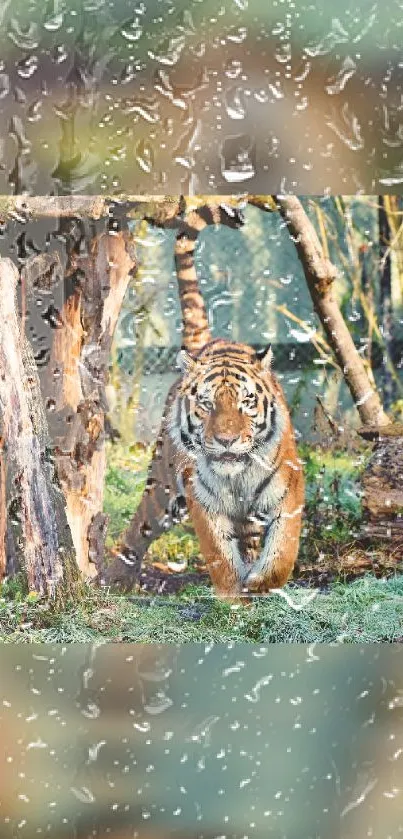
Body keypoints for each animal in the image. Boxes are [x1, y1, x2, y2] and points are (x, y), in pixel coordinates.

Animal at [168, 338, 306, 600]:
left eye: (246, 401)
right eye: (206, 403)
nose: (226, 440)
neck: (236, 477)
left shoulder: (288, 486)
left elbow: (283, 547)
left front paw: (260, 584)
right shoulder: (202, 498)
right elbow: (220, 556)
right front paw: (234, 598)